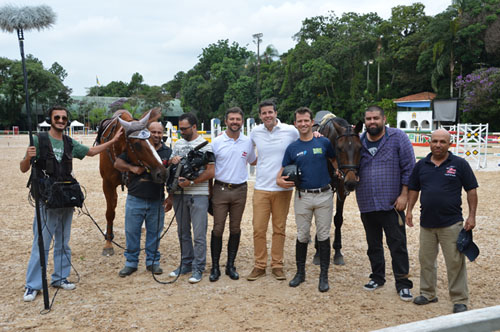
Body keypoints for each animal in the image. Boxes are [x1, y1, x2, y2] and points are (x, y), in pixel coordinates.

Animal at [96, 107, 167, 255]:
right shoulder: (107, 184)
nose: (162, 173)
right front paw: (108, 243)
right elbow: (110, 212)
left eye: (153, 140)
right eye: (137, 144)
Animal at [312, 113, 364, 264]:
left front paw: (337, 252)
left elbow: (338, 219)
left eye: (360, 148)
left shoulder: (341, 188)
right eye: (340, 148)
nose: (351, 182)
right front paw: (318, 252)